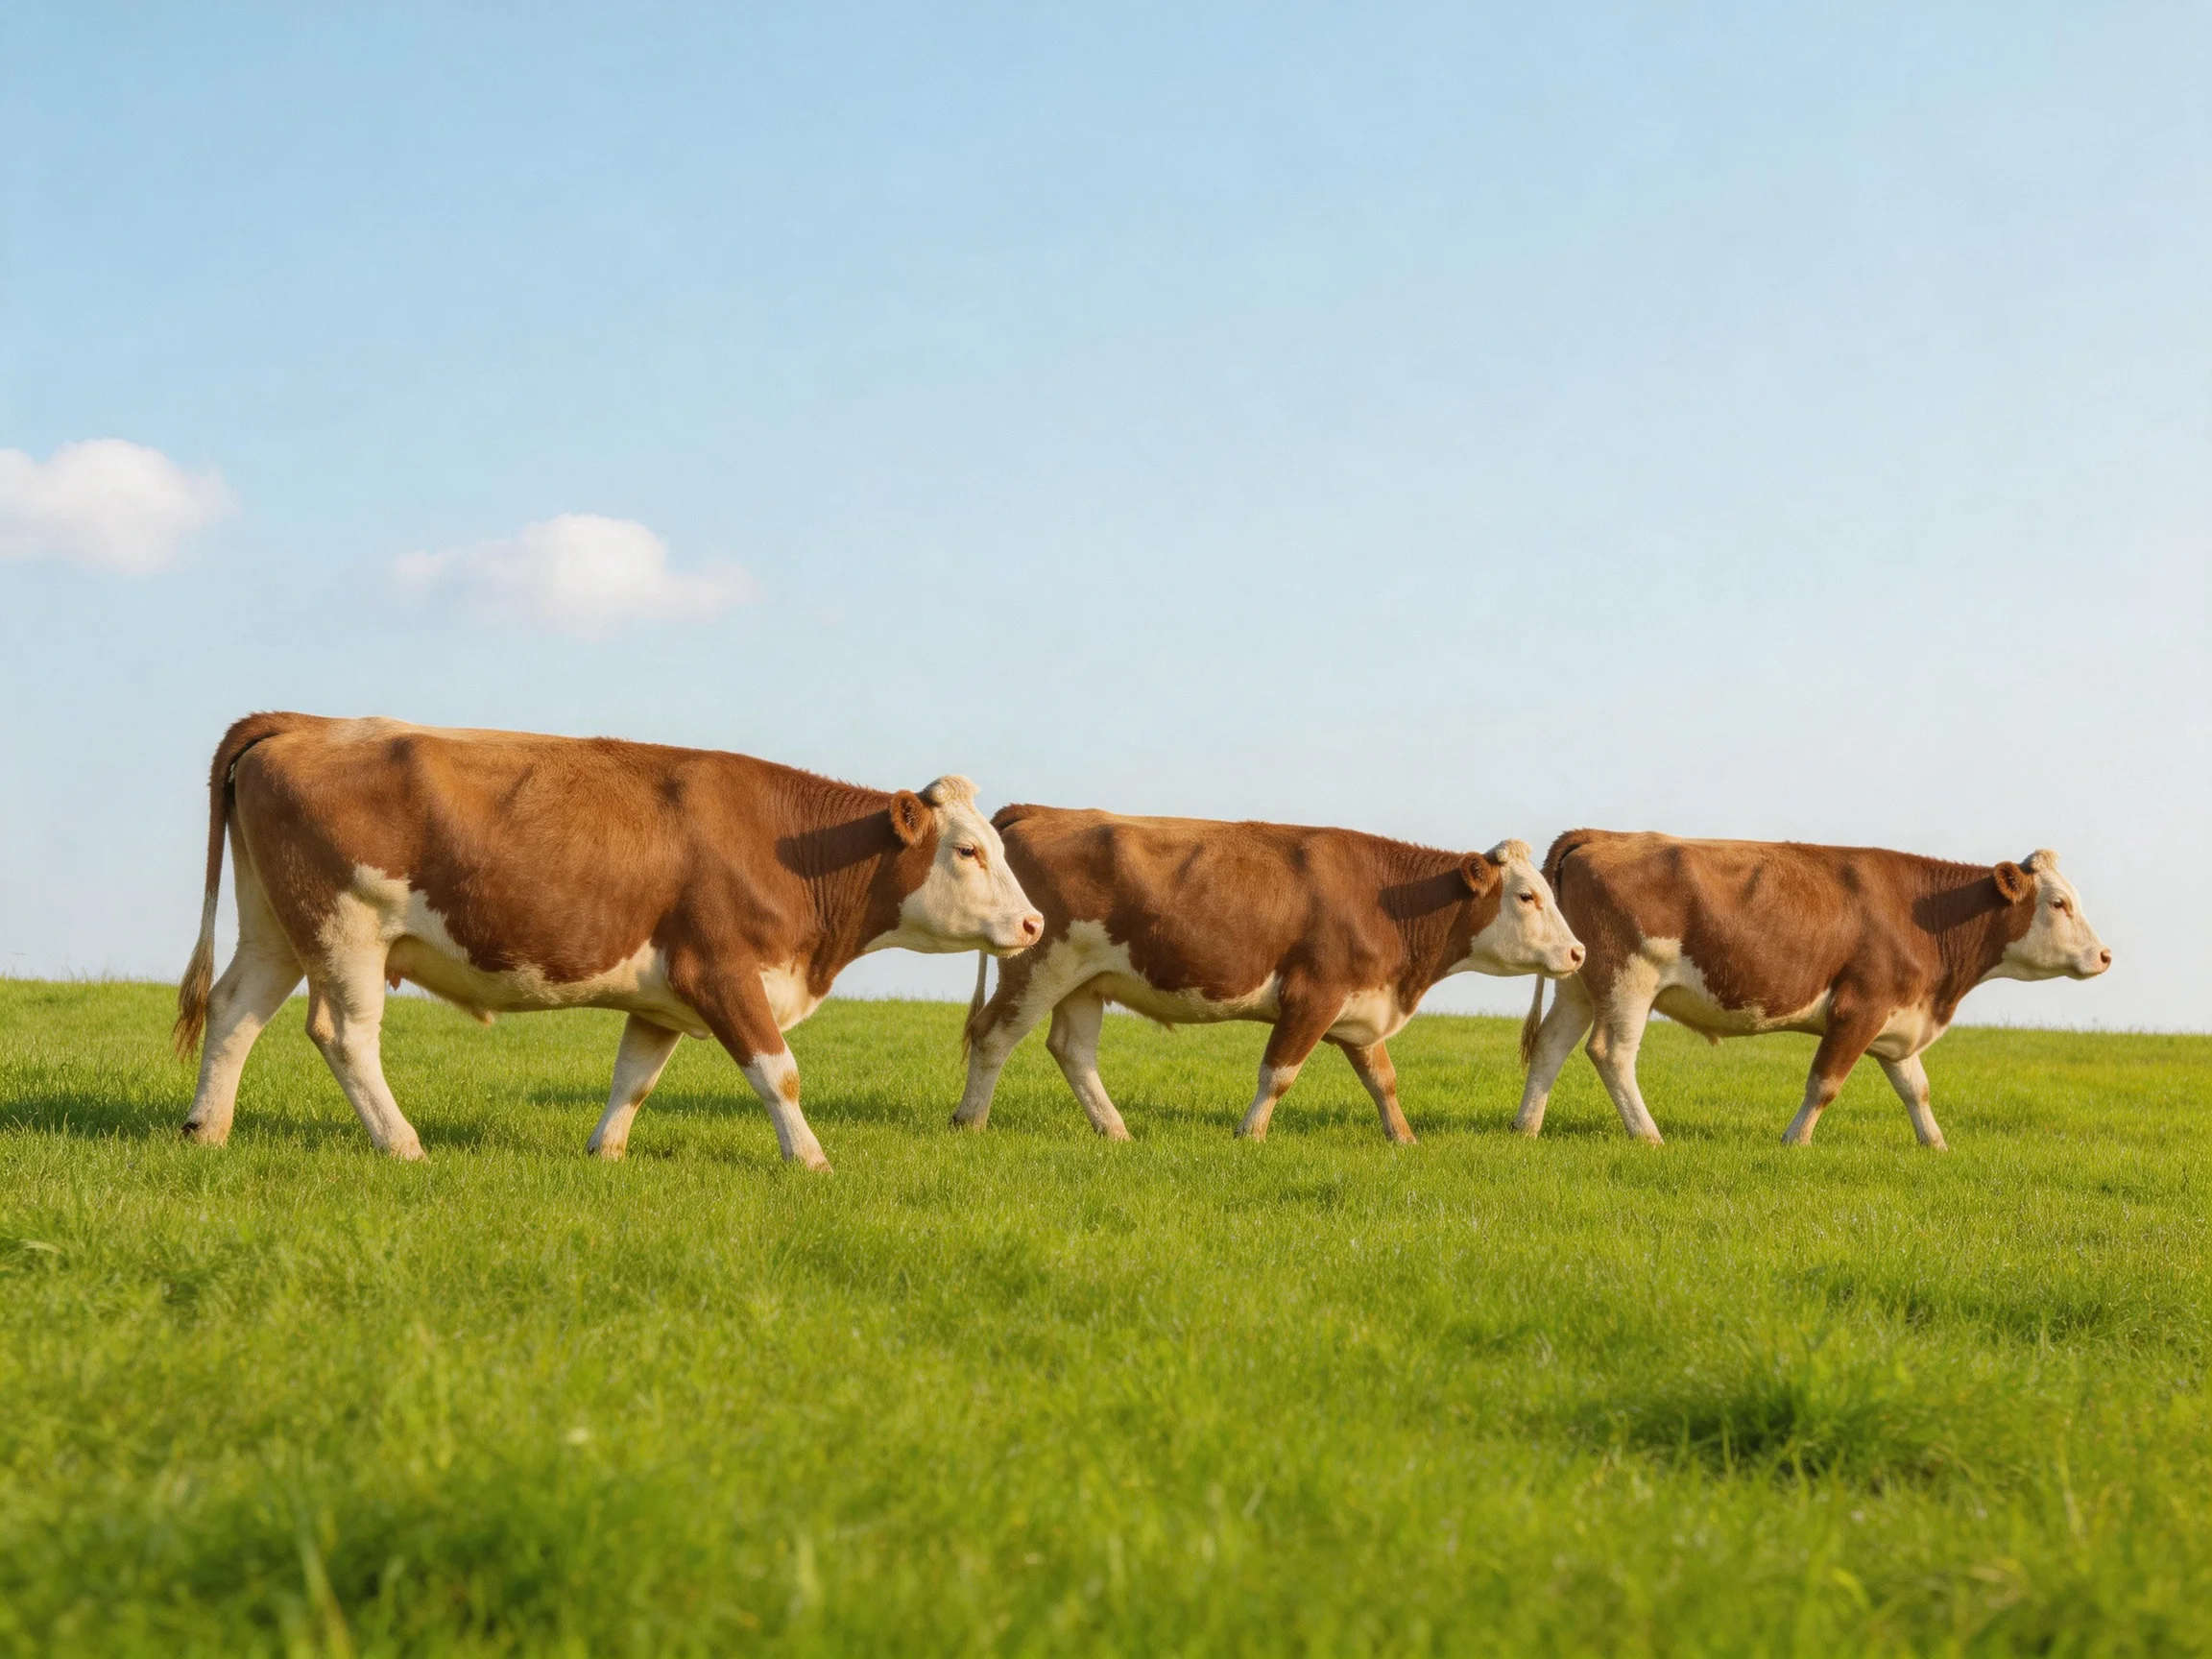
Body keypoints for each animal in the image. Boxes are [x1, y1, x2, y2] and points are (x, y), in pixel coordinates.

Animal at [173, 713, 1043, 1168]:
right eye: (970, 850)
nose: (1034, 923)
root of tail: (309, 723)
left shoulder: (663, 996)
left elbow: (636, 1078)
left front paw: (605, 1153)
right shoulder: (722, 972)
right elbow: (779, 1074)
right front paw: (811, 1161)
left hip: (276, 927)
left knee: (235, 1009)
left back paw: (205, 1130)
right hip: (345, 925)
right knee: (344, 1033)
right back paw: (403, 1144)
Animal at [952, 807, 1586, 1142]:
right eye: (1527, 896)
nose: (1579, 952)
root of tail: (1041, 811)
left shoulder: (1362, 1009)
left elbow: (1383, 1079)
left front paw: (1403, 1139)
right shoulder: (1313, 997)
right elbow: (1279, 1073)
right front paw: (1250, 1135)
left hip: (1085, 982)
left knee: (1072, 1050)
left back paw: (1116, 1132)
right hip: (1040, 967)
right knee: (994, 1036)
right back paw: (971, 1121)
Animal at [1512, 831, 2112, 1149]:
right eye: (2060, 903)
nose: (2105, 955)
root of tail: (1602, 835)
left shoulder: (1899, 1021)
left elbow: (1916, 1089)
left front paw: (1936, 1146)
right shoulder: (1859, 1008)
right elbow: (1825, 1083)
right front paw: (1794, 1142)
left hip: (1579, 980)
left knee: (1551, 1046)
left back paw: (1526, 1127)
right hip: (1629, 979)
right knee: (1611, 1052)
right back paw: (1647, 1135)